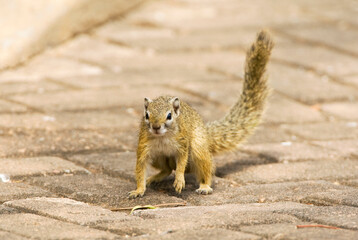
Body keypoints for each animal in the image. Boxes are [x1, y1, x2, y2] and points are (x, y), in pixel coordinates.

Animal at [129, 30, 274, 199]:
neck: (162, 138)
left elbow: (181, 163)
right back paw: (155, 177)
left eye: (169, 116)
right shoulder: (144, 146)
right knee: (167, 169)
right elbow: (140, 169)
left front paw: (180, 180)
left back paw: (204, 186)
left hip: (198, 148)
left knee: (204, 170)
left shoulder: (182, 143)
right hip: (159, 158)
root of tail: (206, 133)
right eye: (146, 115)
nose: (156, 127)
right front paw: (139, 190)